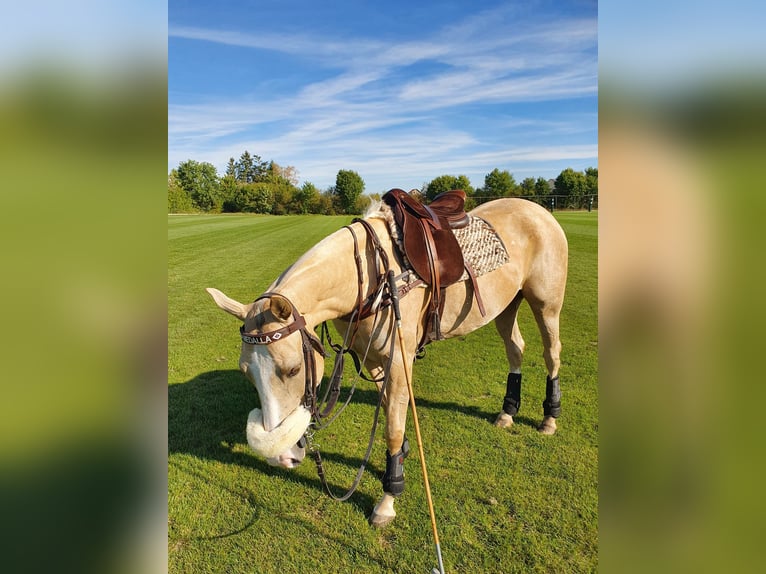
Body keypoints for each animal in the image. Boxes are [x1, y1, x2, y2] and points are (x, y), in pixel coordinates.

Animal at [206, 194, 568, 527]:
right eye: (247, 374)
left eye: (293, 369)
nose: (281, 458)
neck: (368, 278)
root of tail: (539, 210)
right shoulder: (374, 359)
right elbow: (390, 413)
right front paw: (399, 460)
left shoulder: (400, 361)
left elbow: (392, 429)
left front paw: (388, 499)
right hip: (506, 303)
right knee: (516, 348)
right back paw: (507, 412)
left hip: (546, 302)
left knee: (551, 352)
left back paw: (549, 418)